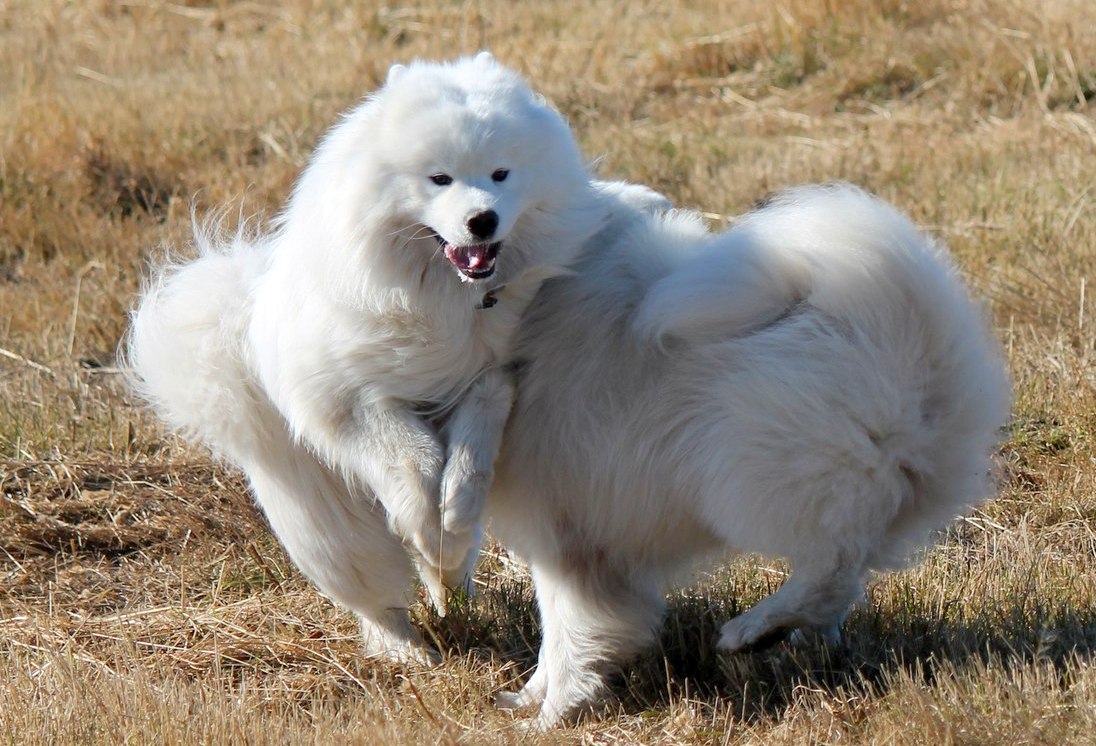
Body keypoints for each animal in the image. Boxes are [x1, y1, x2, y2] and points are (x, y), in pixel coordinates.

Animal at [125, 55, 661, 666]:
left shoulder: (492, 375)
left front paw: (451, 519)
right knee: (376, 597)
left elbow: (470, 455)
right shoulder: (357, 401)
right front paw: (430, 522)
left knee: (441, 570)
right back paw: (408, 651)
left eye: (501, 174)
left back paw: (448, 579)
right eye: (439, 178)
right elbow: (413, 461)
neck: (449, 297)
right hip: (328, 528)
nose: (483, 220)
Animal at [488, 182, 1008, 722]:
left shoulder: (565, 538)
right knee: (842, 578)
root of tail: (903, 334)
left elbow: (568, 631)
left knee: (831, 571)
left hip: (750, 483)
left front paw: (551, 717)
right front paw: (527, 699)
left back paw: (752, 630)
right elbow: (558, 633)